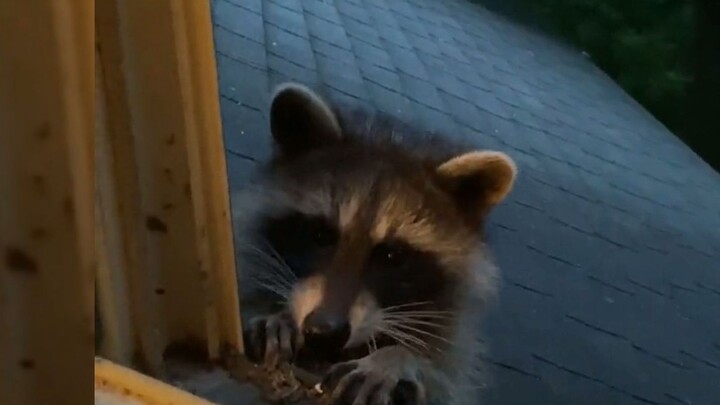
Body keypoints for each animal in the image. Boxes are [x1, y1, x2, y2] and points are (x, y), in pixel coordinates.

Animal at [232, 83, 517, 405]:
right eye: (320, 235)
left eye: (392, 255)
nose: (324, 332)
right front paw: (276, 313)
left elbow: (444, 379)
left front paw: (397, 358)